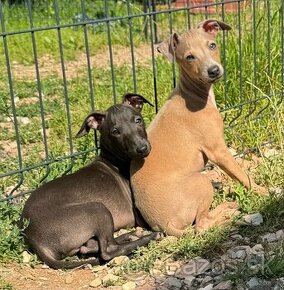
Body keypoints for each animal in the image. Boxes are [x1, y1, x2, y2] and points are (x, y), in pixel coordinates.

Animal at [130, 19, 266, 237]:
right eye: (189, 57)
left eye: (212, 45)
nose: (213, 71)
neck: (192, 94)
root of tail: (163, 225)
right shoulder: (218, 151)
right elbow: (243, 176)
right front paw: (264, 191)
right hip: (201, 182)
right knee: (201, 225)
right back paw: (229, 215)